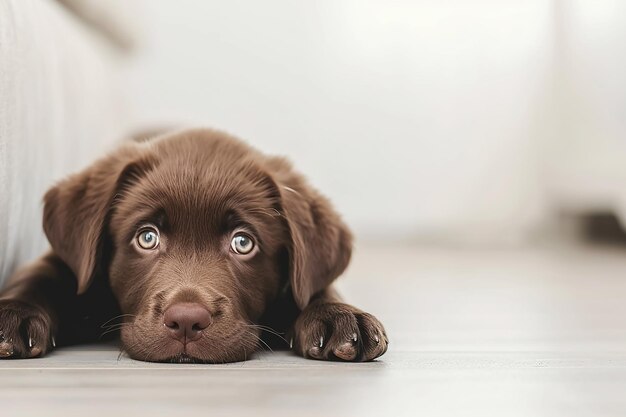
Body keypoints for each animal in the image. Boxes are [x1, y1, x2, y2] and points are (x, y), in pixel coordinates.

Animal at [0, 128, 386, 362]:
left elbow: (316, 287)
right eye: (147, 237)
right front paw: (14, 313)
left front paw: (340, 316)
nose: (186, 321)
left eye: (243, 242)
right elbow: (42, 273)